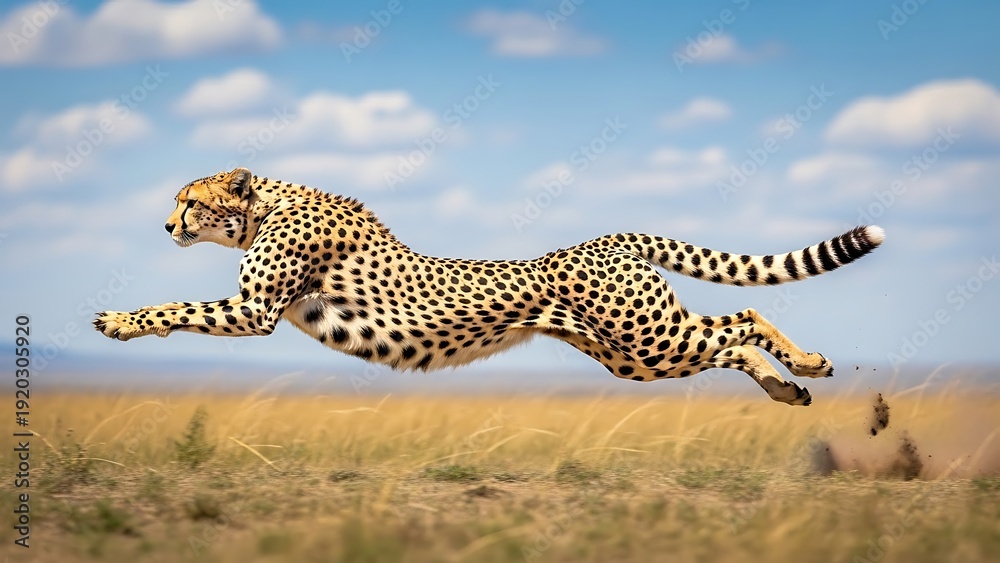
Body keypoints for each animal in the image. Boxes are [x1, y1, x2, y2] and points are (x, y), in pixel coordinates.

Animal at [94, 167, 885, 405]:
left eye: (189, 200)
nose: (166, 225)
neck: (265, 205)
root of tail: (602, 239)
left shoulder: (257, 309)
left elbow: (180, 306)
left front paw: (119, 321)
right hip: (632, 354)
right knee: (729, 336)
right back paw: (788, 386)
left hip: (647, 338)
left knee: (745, 315)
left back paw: (806, 365)